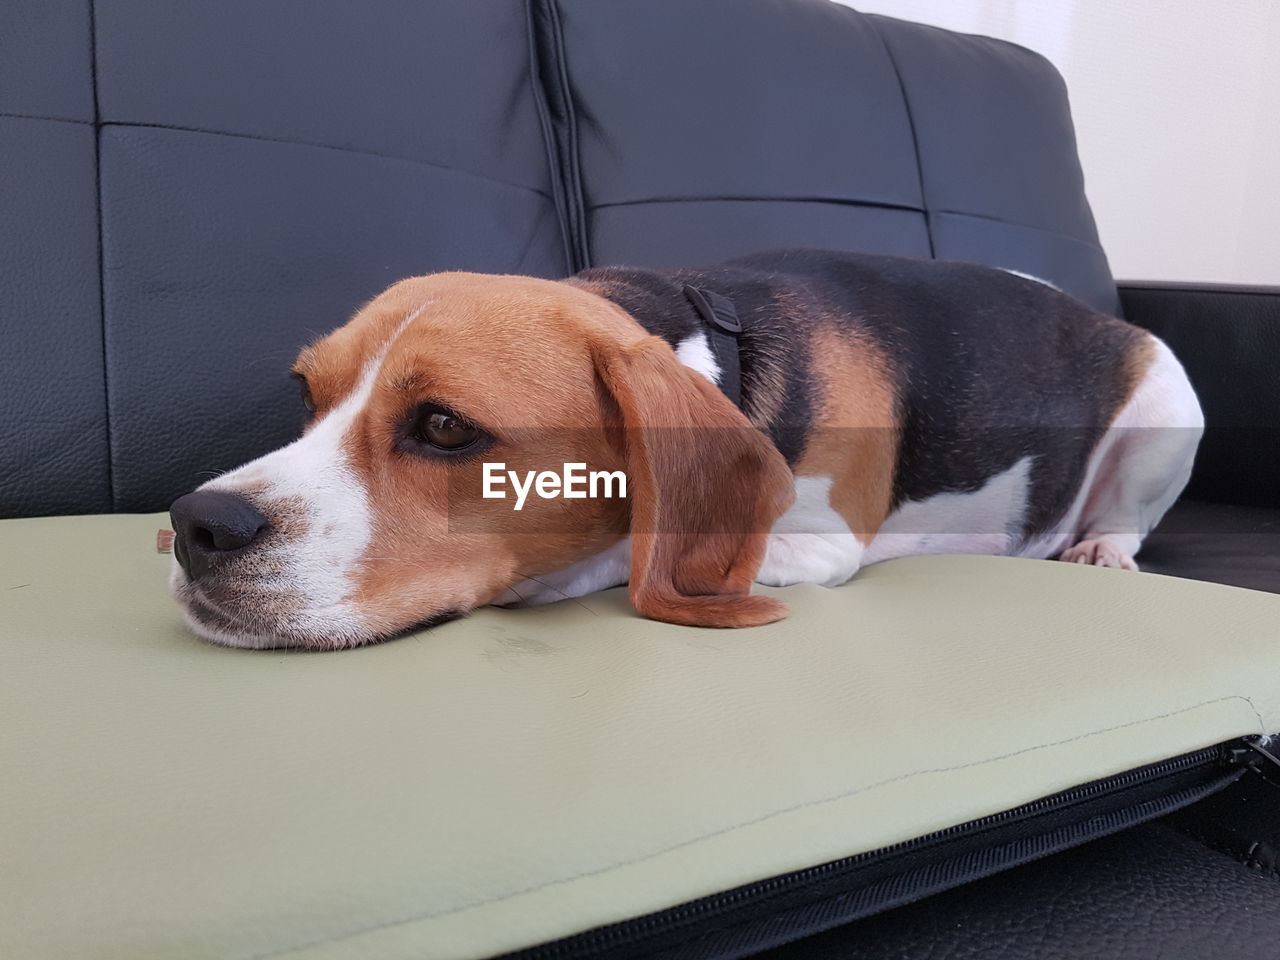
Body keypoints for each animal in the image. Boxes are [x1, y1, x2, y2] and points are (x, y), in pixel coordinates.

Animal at [167, 252, 1198, 650]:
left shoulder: (819, 541)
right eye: (308, 396)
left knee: (1131, 514)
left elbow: (637, 549)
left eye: (445, 427)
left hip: (1166, 405)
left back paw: (1100, 548)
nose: (195, 525)